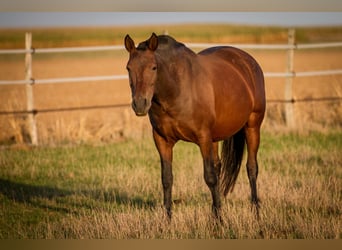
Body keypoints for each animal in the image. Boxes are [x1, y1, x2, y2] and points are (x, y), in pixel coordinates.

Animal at [124, 32, 266, 221]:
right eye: (128, 68)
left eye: (153, 67)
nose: (140, 104)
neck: (177, 89)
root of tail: (247, 61)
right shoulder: (162, 140)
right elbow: (167, 179)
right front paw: (167, 220)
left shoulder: (203, 137)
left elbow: (210, 177)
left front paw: (219, 221)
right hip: (216, 137)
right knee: (219, 167)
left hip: (252, 127)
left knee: (251, 168)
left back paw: (256, 211)